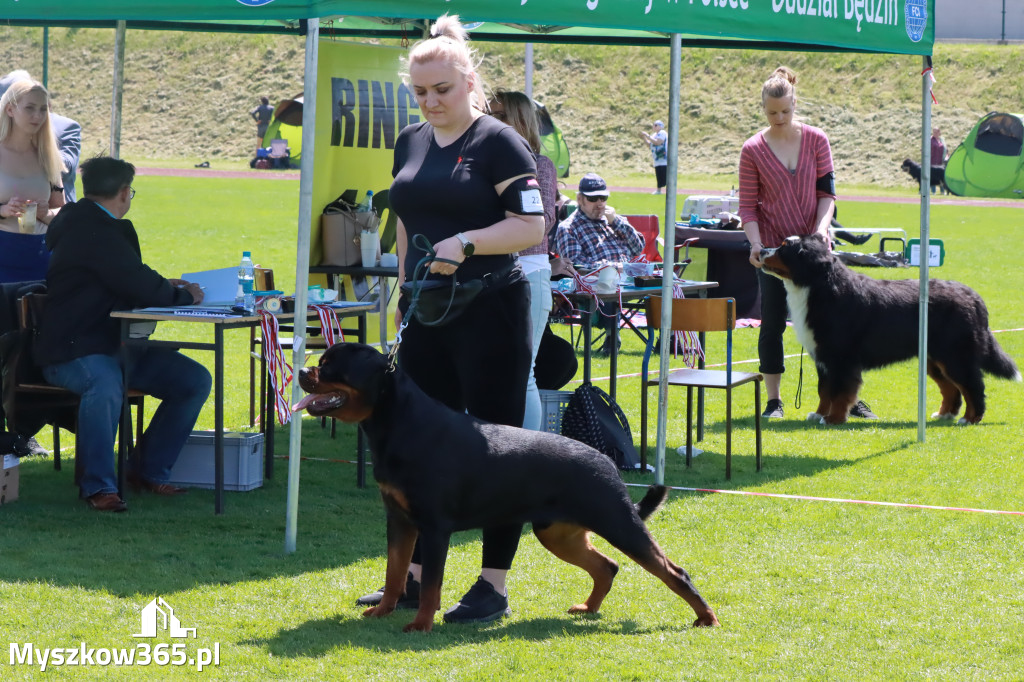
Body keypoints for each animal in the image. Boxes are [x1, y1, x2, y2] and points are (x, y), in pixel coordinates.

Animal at [292, 346, 716, 630]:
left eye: (329, 366)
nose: (300, 370)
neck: (397, 422)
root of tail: (607, 461)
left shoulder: (435, 527)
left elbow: (430, 584)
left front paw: (421, 624)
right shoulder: (399, 521)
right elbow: (395, 572)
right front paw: (383, 611)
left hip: (618, 522)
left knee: (673, 571)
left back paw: (706, 617)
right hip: (557, 532)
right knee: (607, 566)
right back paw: (589, 608)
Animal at [761, 236, 1015, 421]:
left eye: (783, 248)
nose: (761, 250)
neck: (818, 287)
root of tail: (973, 295)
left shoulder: (841, 357)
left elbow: (840, 391)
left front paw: (833, 419)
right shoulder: (823, 357)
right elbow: (824, 390)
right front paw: (819, 414)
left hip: (955, 355)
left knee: (973, 386)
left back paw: (970, 418)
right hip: (935, 359)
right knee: (951, 389)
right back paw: (944, 415)